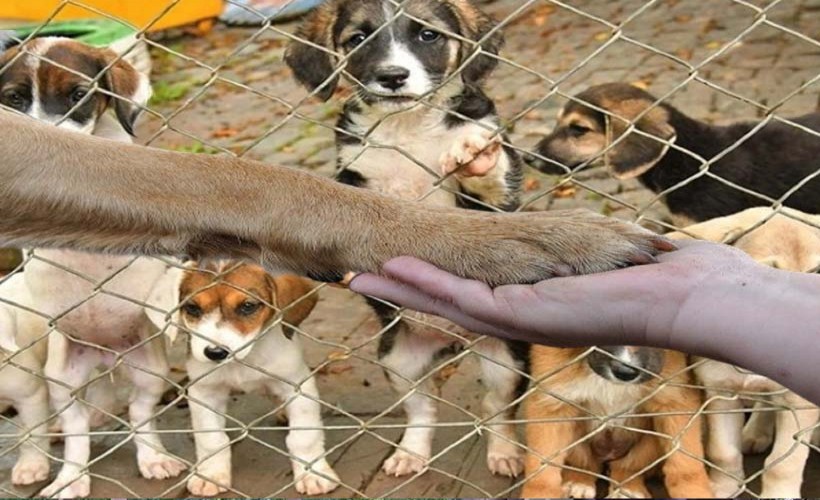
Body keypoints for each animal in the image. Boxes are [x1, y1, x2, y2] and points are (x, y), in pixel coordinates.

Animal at [524, 346, 712, 498]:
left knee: (626, 467)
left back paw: (628, 488)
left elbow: (687, 465)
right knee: (586, 463)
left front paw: (694, 492)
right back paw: (579, 481)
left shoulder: (675, 402)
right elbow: (542, 466)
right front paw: (539, 494)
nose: (625, 373)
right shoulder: (552, 405)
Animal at [668, 207, 820, 496]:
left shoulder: (798, 403)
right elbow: (723, 451)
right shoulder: (721, 393)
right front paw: (723, 487)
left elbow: (783, 463)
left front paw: (779, 496)